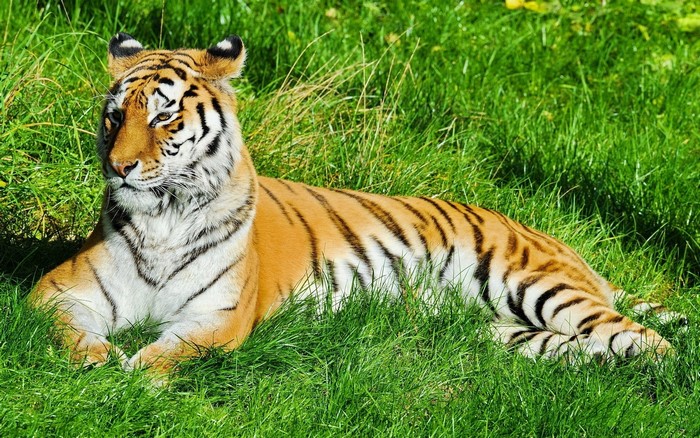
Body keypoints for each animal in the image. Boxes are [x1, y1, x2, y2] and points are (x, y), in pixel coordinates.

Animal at [30, 33, 682, 376]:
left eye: (163, 117)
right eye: (115, 116)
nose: (120, 167)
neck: (162, 216)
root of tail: (557, 241)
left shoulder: (217, 316)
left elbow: (168, 354)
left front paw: (135, 374)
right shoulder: (60, 291)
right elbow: (71, 334)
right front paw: (100, 362)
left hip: (536, 282)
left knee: (652, 342)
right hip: (505, 331)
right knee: (583, 347)